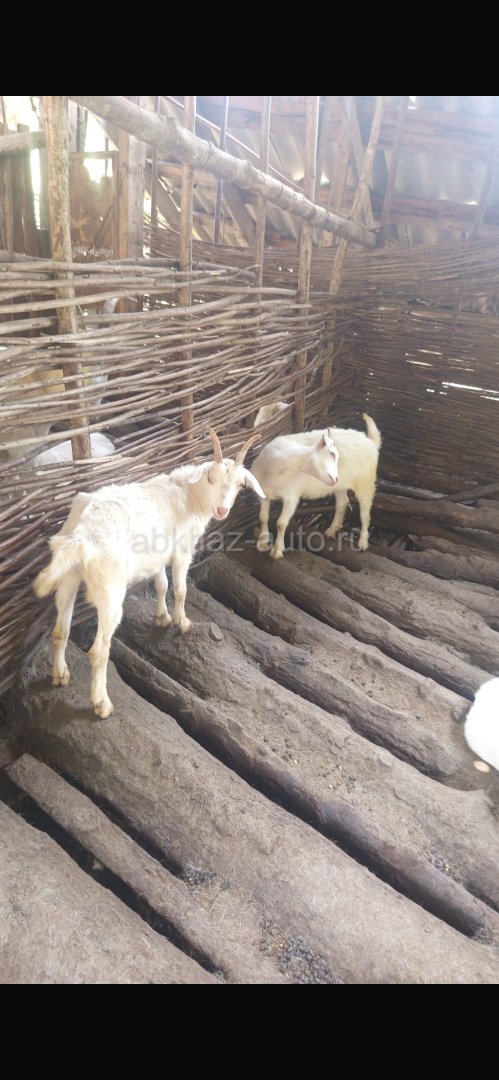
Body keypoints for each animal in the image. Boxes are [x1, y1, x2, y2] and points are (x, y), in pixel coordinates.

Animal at [33, 429, 265, 719]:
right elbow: (180, 589)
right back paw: (102, 704)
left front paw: (161, 617)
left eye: (240, 485)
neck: (189, 494)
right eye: (211, 478)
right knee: (99, 651)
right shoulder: (181, 549)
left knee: (59, 631)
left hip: (68, 578)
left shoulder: (157, 554)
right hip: (110, 591)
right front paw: (182, 622)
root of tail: (81, 535)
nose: (222, 510)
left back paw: (60, 675)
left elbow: (162, 584)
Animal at [251, 413, 381, 560]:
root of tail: (371, 442)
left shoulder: (291, 497)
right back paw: (331, 531)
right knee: (342, 502)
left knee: (365, 512)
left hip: (365, 482)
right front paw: (263, 543)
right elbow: (263, 518)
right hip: (339, 486)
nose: (335, 477)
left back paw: (363, 543)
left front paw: (277, 551)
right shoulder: (264, 494)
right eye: (332, 454)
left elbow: (281, 523)